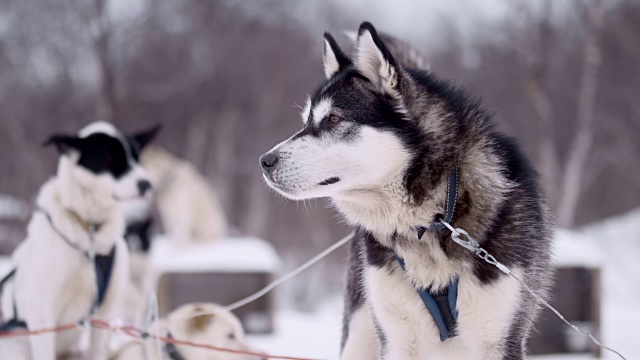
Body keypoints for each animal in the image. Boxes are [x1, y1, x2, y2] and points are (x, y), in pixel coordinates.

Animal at [0, 121, 159, 360]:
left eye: (137, 158)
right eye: (110, 159)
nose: (146, 184)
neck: (90, 230)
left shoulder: (104, 312)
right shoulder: (42, 315)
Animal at [258, 23, 552, 360]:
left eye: (333, 118)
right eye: (306, 121)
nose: (265, 161)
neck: (433, 217)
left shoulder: (498, 341)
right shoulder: (397, 339)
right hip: (360, 334)